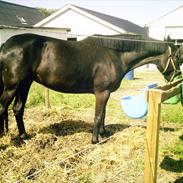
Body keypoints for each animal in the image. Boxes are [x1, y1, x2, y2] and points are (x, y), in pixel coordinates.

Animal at [0, 33, 181, 144]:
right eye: (178, 57)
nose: (177, 77)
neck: (115, 54)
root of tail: (5, 45)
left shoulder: (105, 93)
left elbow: (103, 114)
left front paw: (103, 133)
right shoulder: (102, 93)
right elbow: (98, 115)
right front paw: (95, 140)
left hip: (25, 84)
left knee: (18, 109)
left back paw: (24, 137)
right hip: (12, 86)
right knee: (3, 107)